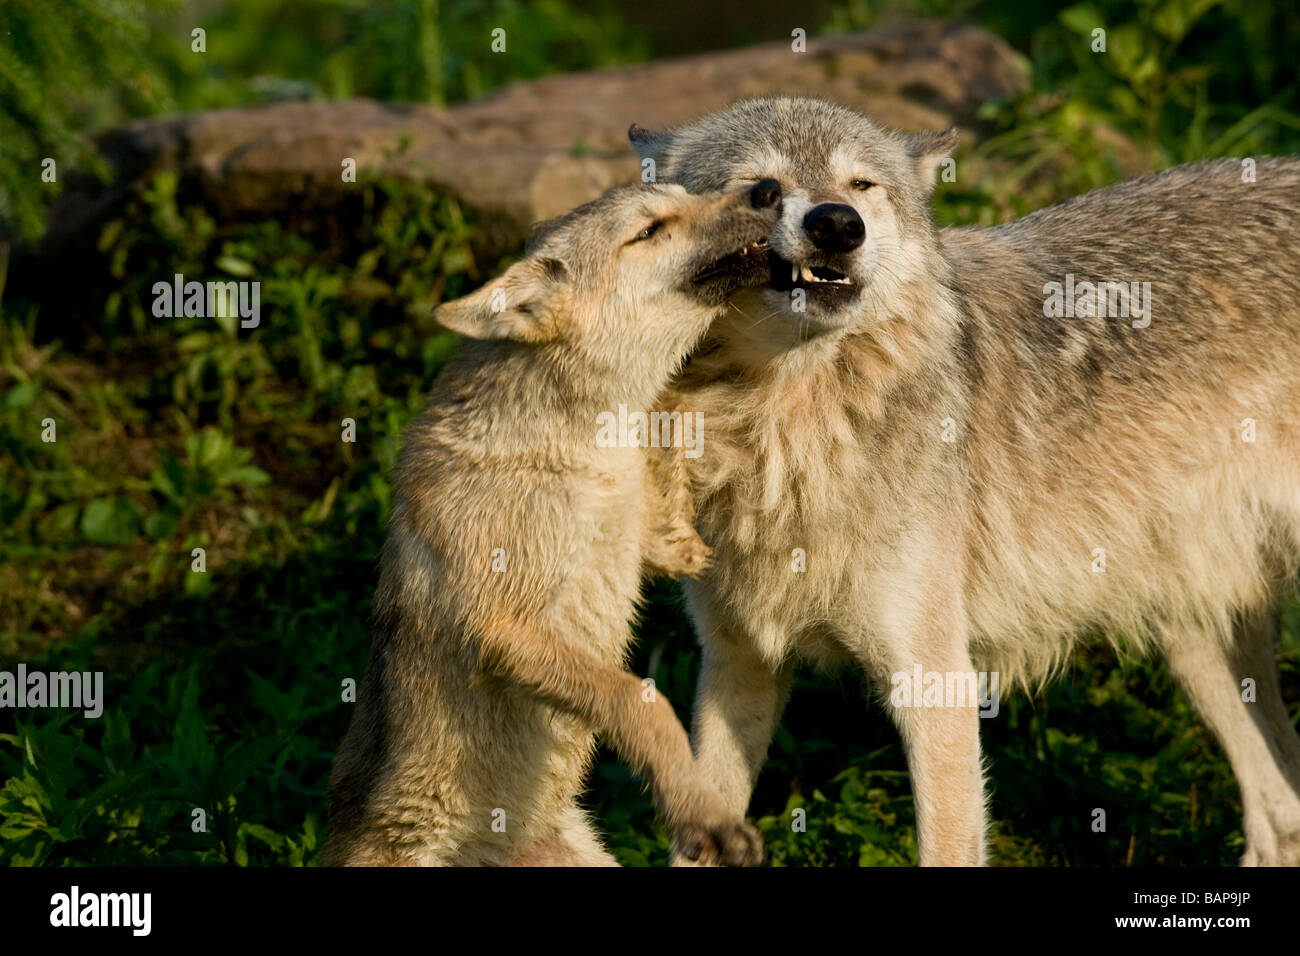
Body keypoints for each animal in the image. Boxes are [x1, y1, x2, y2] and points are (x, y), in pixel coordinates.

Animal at [321, 179, 780, 868]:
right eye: (650, 229)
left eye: (690, 194)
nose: (769, 187)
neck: (579, 448)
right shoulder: (504, 628)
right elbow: (641, 700)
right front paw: (703, 815)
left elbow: (670, 466)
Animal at [629, 95, 1300, 868]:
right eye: (759, 188)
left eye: (861, 185)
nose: (837, 224)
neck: (786, 420)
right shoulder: (736, 666)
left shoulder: (936, 682)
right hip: (1198, 639)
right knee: (1282, 811)